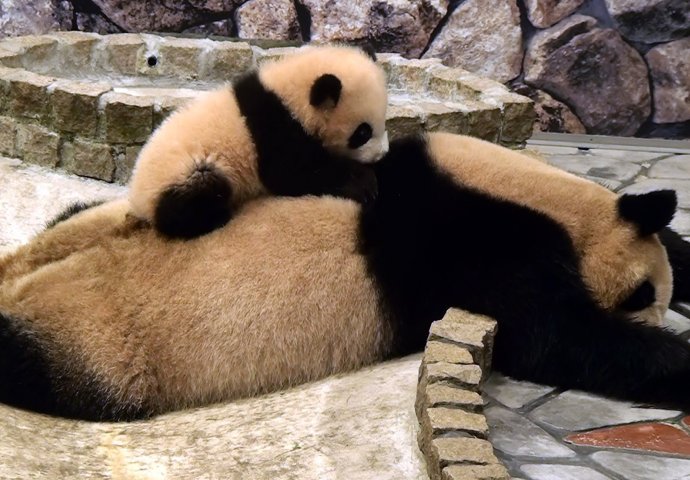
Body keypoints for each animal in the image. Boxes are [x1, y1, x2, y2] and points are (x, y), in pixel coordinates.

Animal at [1, 132, 689, 421]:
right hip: (99, 343)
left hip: (86, 224)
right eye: (642, 295)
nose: (659, 313)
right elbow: (558, 337)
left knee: (73, 215)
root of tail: (14, 286)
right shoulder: (476, 245)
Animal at [128, 44, 389, 239]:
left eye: (384, 120)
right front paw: (363, 182)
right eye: (362, 133)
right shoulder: (273, 129)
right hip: (184, 172)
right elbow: (292, 173)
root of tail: (137, 197)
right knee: (196, 196)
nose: (381, 155)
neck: (289, 96)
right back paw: (216, 216)